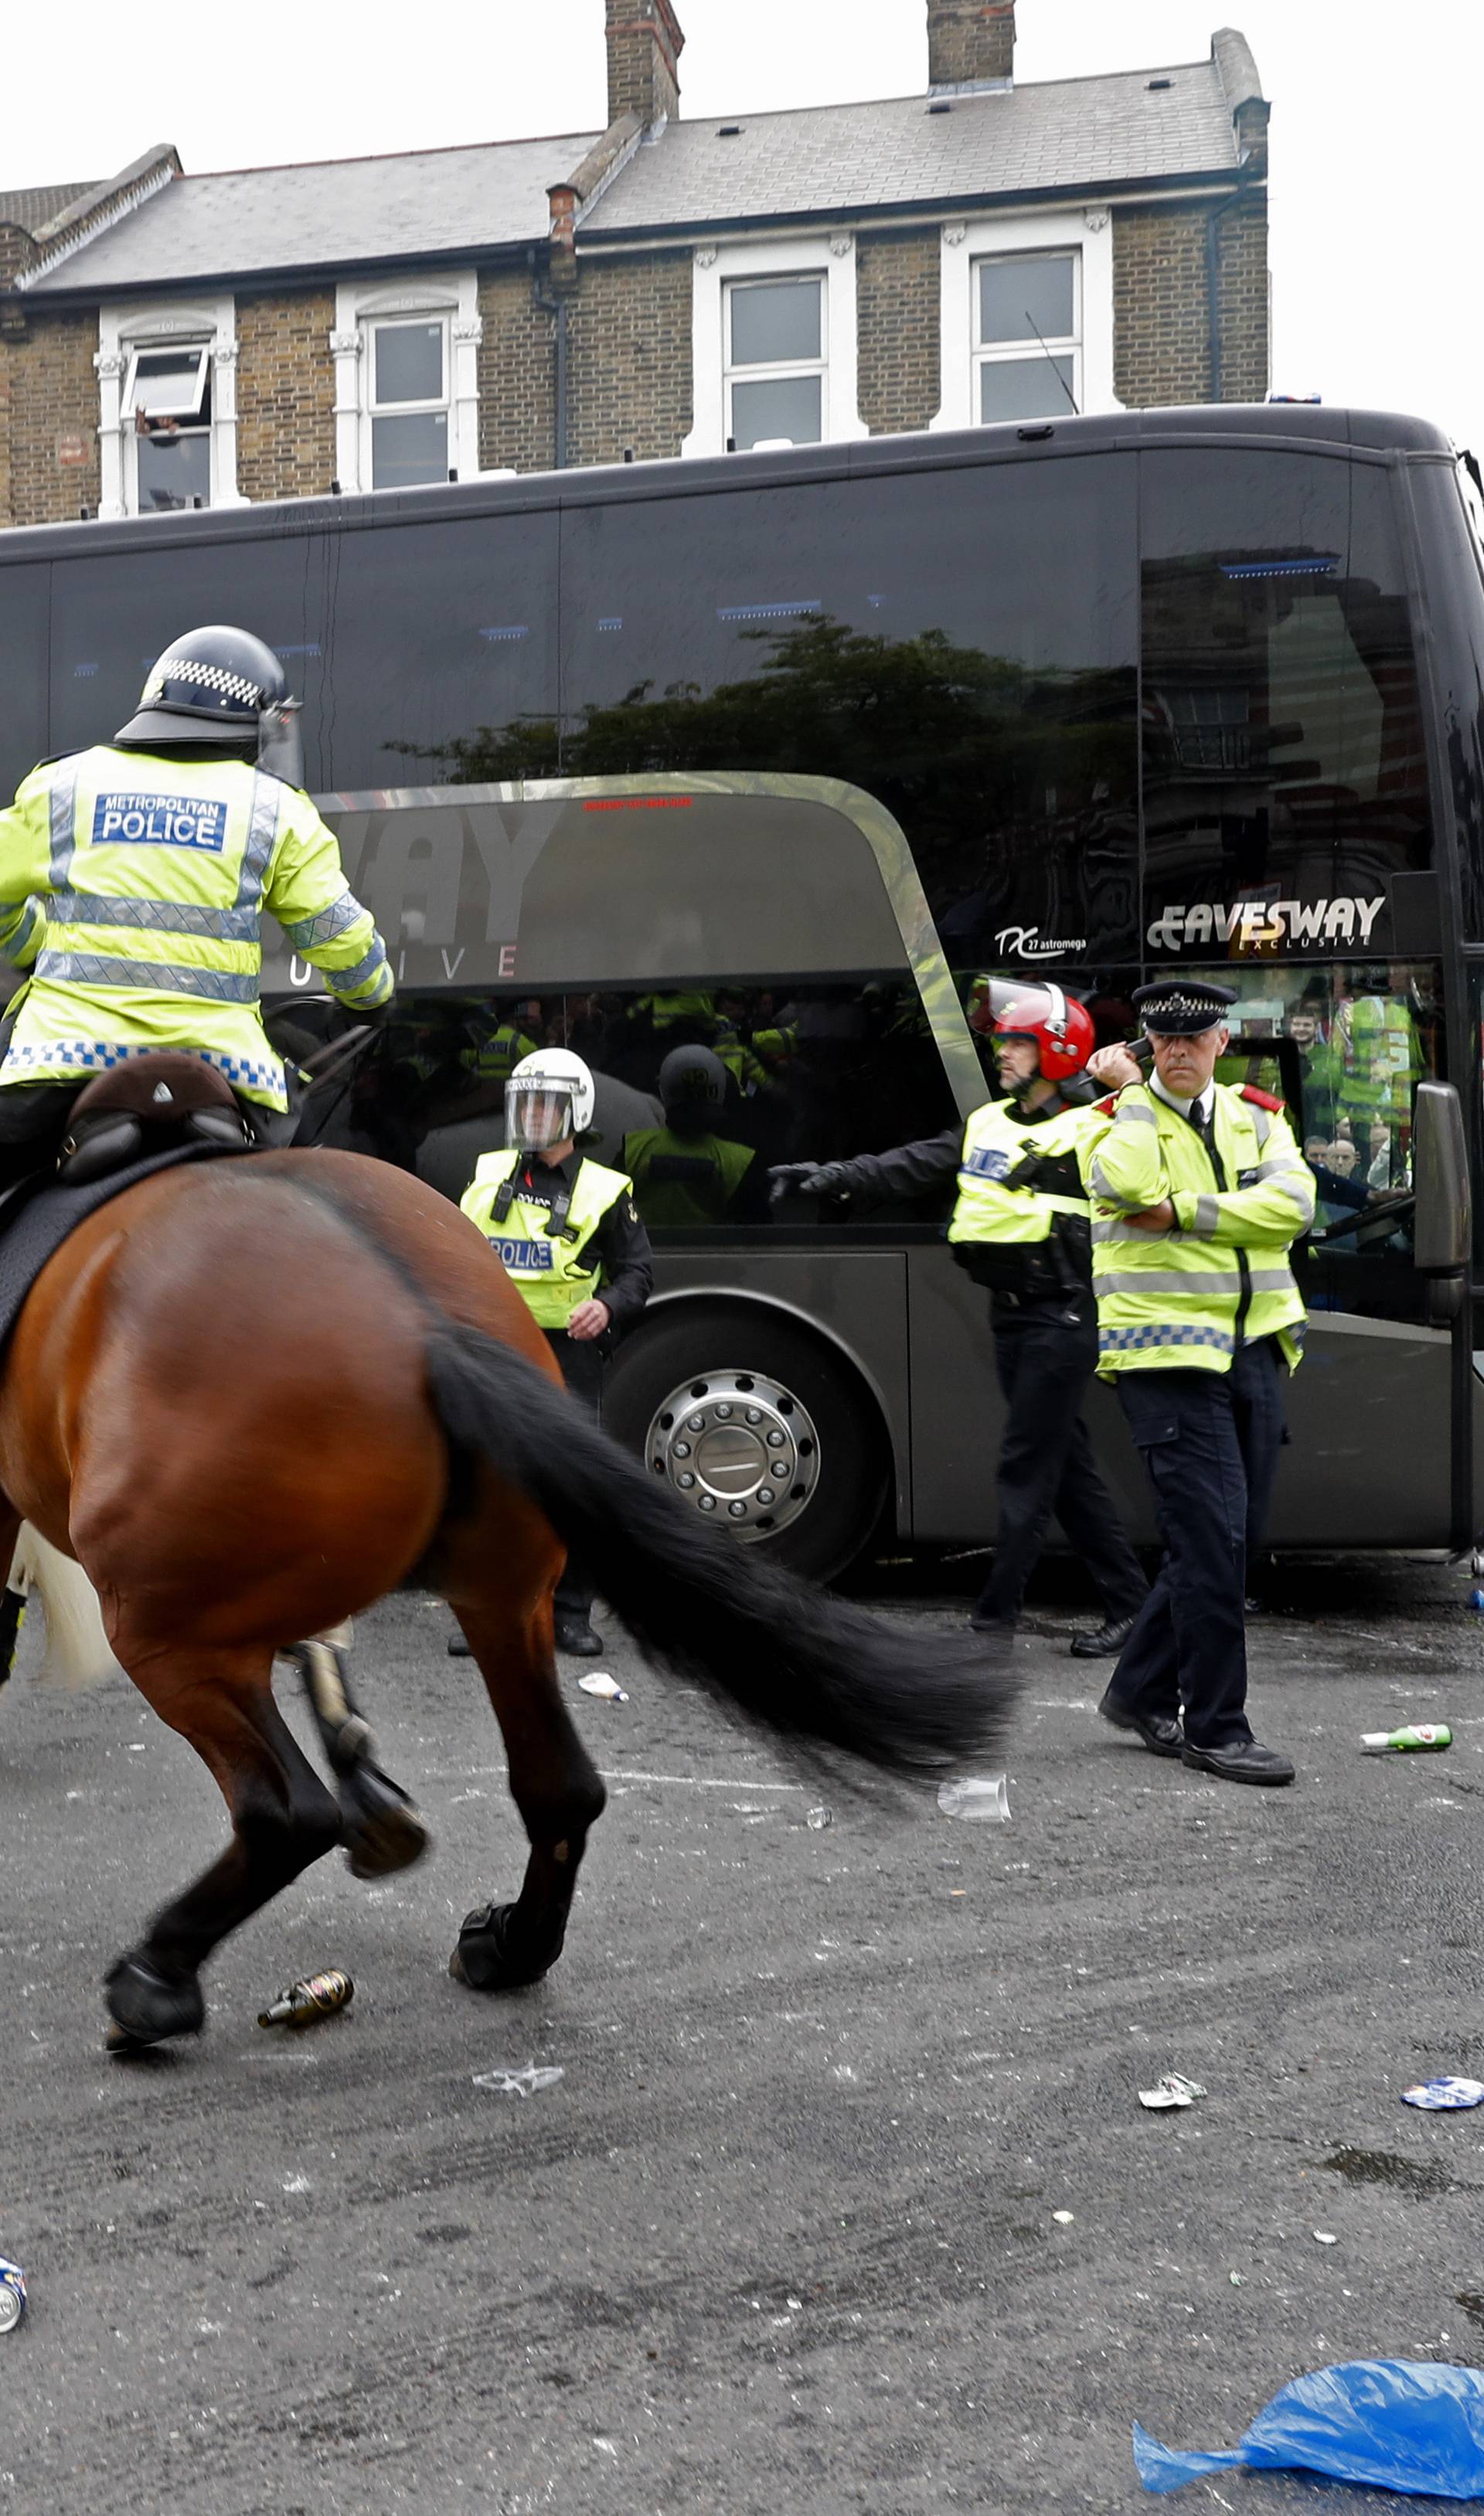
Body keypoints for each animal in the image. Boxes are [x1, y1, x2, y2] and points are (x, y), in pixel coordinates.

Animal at [0, 1091, 1016, 2053]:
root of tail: (421, 1322)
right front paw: (366, 1766)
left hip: (167, 1627)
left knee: (285, 1813)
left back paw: (157, 1980)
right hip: (501, 1594)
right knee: (559, 1784)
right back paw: (510, 1941)